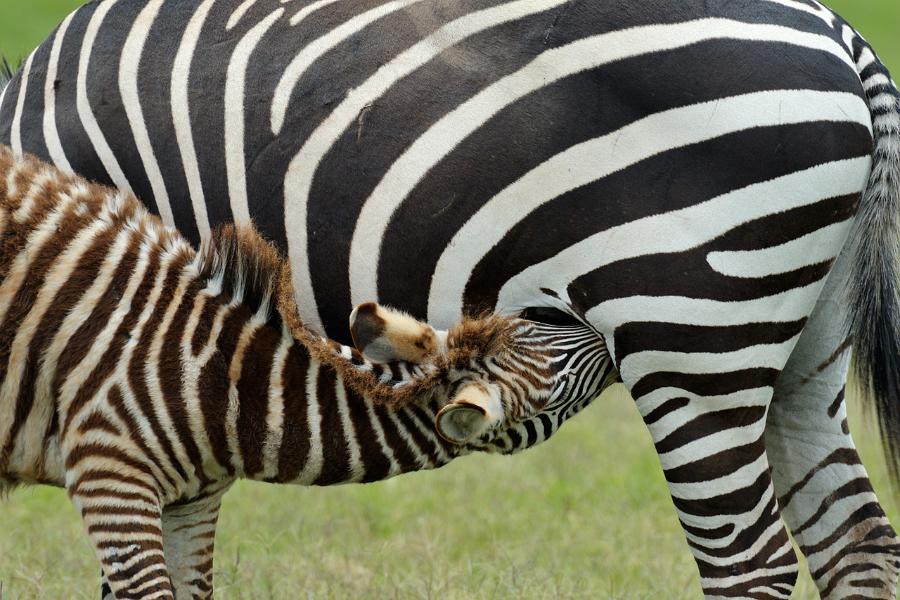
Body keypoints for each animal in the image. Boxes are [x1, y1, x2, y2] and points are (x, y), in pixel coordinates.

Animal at [0, 146, 612, 600]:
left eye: (529, 322)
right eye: (559, 386)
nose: (606, 333)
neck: (226, 389)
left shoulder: (189, 504)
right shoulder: (109, 476)